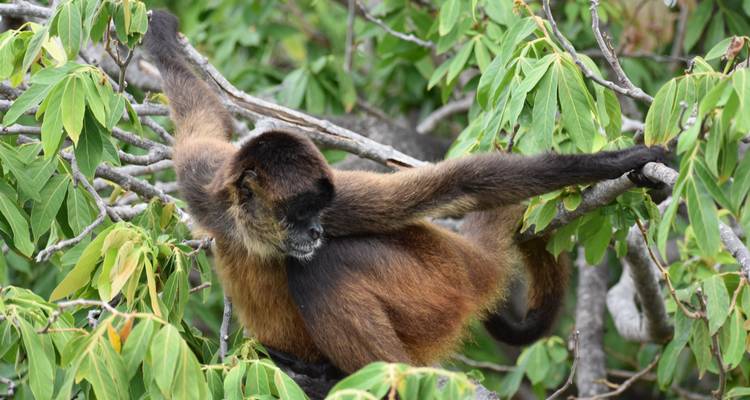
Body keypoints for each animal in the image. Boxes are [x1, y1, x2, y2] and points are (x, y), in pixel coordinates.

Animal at [143, 10, 665, 374]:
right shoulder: (208, 189)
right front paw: (162, 38)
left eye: (316, 210)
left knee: (322, 267)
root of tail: (472, 259)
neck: (256, 237)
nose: (314, 232)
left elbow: (460, 183)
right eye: (297, 212)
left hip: (438, 287)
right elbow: (205, 118)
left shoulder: (341, 200)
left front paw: (619, 161)